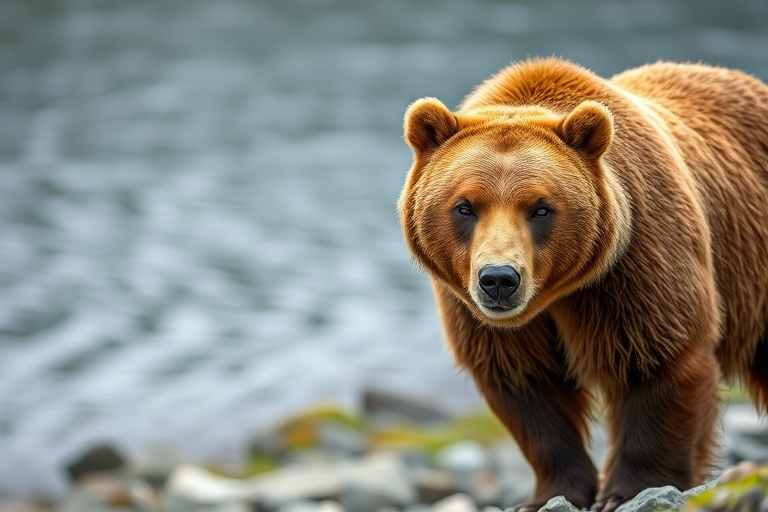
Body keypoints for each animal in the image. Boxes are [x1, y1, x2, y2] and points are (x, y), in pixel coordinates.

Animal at [398, 57, 768, 512]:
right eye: (465, 206)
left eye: (541, 207)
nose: (499, 279)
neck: (556, 296)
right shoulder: (480, 317)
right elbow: (528, 390)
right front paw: (548, 494)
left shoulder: (636, 267)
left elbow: (658, 361)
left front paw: (629, 490)